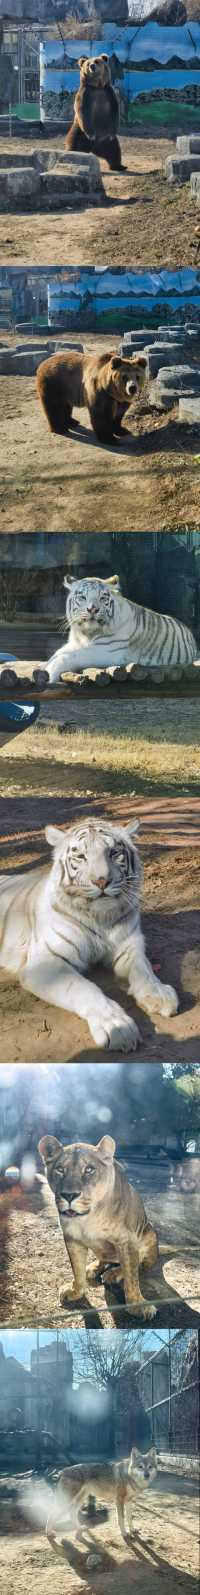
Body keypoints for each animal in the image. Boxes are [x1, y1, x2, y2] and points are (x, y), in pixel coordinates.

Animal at [0, 816, 178, 1052]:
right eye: (80, 856)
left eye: (113, 852)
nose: (102, 881)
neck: (99, 917)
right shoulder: (46, 963)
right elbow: (84, 988)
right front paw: (116, 1026)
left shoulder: (129, 948)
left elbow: (145, 969)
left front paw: (159, 993)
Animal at [40, 574, 196, 685]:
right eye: (82, 597)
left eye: (103, 597)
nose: (92, 609)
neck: (86, 634)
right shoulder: (74, 644)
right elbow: (56, 654)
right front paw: (43, 666)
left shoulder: (106, 651)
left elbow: (67, 657)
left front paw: (50, 674)